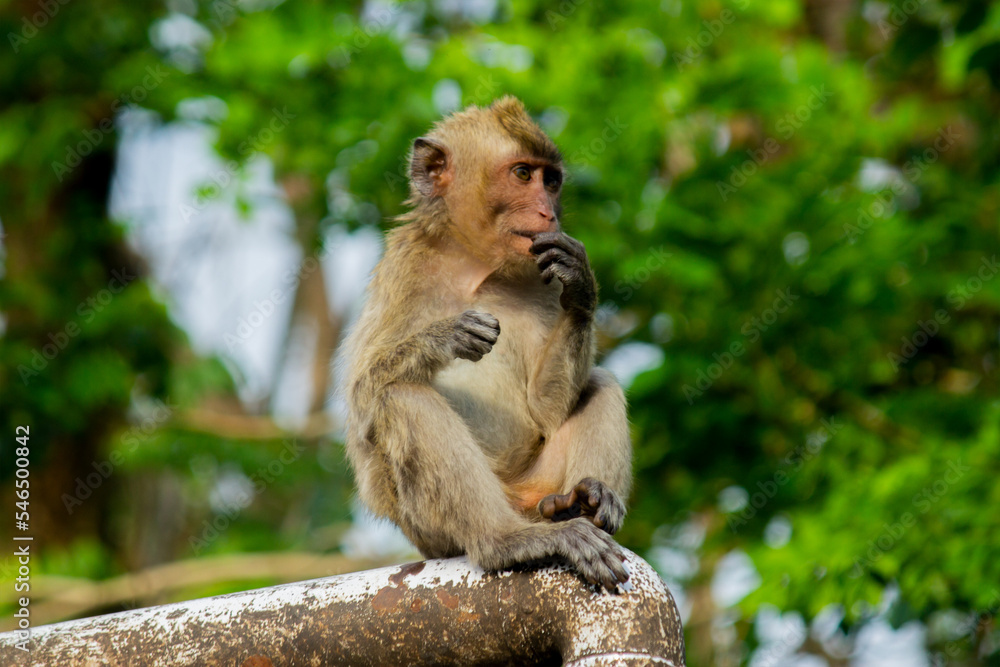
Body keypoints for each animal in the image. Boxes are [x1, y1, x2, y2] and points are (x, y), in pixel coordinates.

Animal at [342, 96, 633, 591]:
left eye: (550, 181)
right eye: (522, 174)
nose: (548, 213)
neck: (476, 264)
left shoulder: (541, 277)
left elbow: (544, 408)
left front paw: (581, 285)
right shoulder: (404, 267)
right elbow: (363, 395)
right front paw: (448, 334)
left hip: (539, 483)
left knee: (601, 383)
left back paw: (583, 501)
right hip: (430, 529)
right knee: (400, 396)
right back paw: (507, 540)